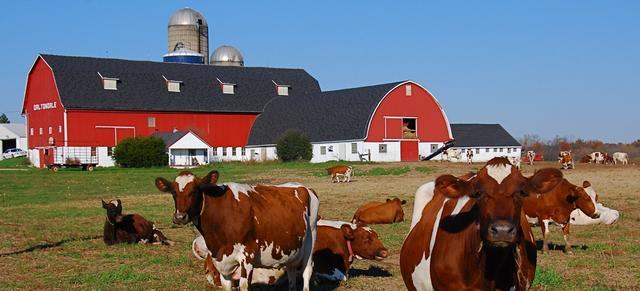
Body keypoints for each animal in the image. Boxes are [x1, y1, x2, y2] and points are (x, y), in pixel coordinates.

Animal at [156, 171, 320, 291]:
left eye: (195, 191)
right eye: (173, 193)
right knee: (291, 272)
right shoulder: (221, 262)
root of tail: (303, 187)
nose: (180, 217)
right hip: (292, 249)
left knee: (306, 272)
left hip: (310, 239)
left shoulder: (247, 256)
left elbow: (244, 285)